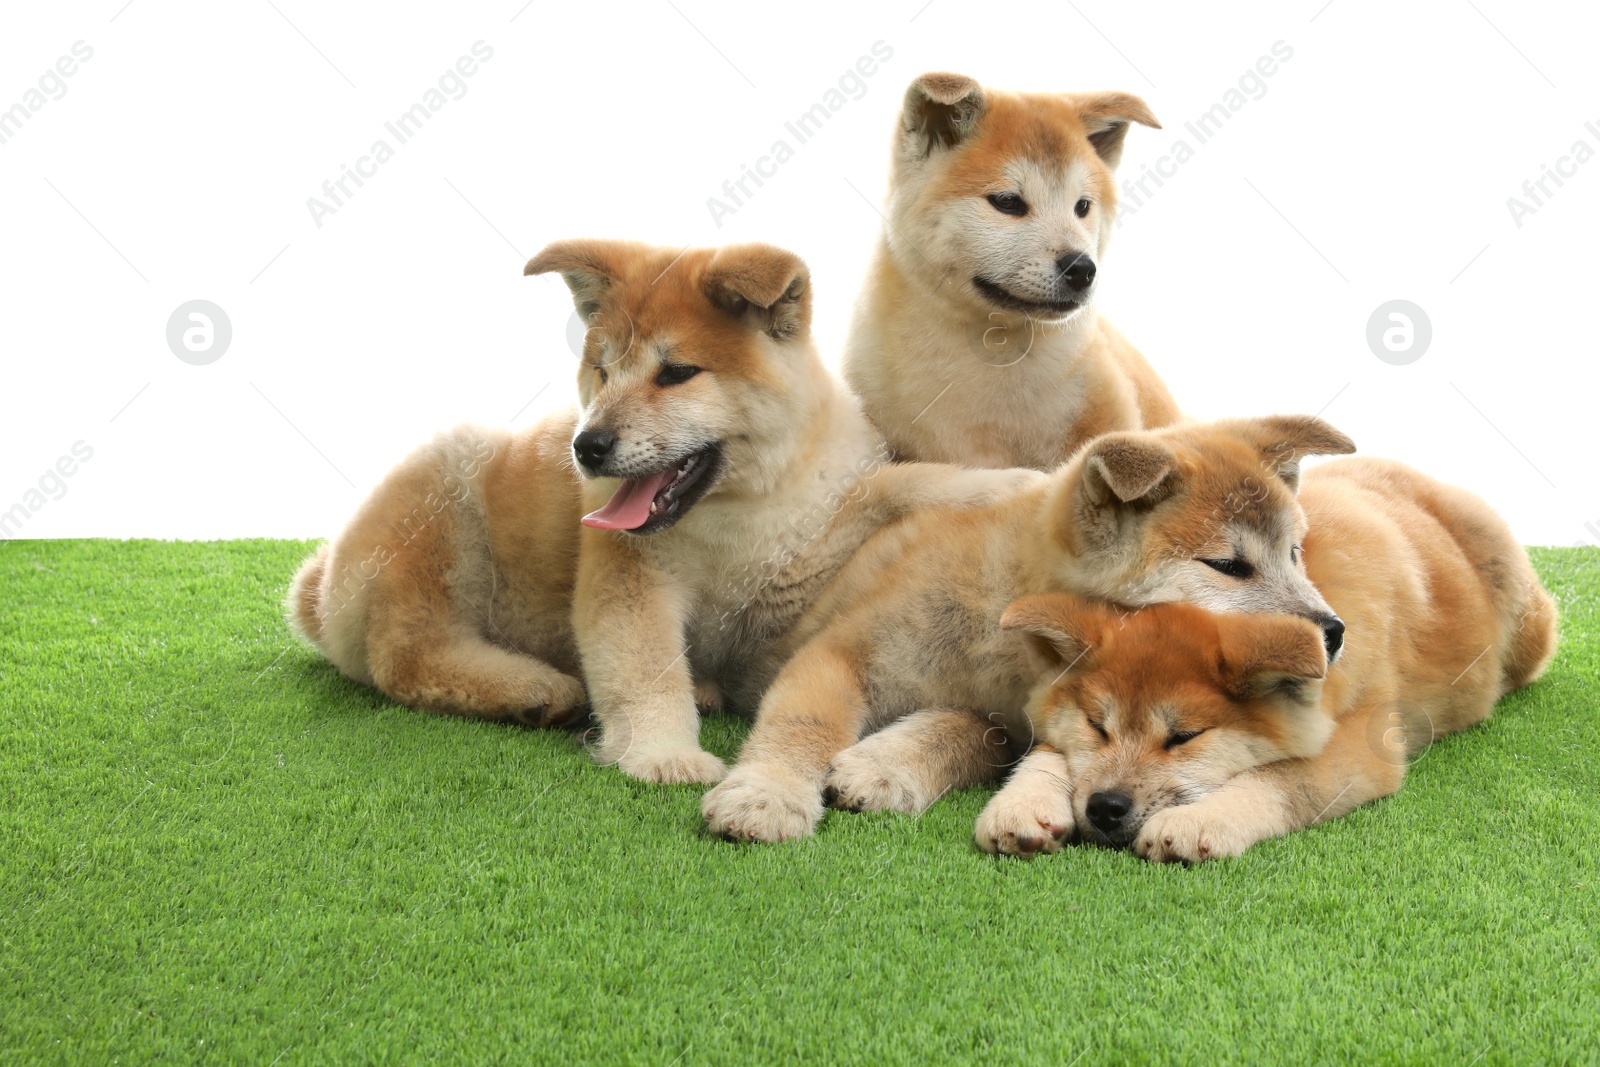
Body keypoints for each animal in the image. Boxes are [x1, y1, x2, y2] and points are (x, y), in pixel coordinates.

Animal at [288, 246, 1036, 790]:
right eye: (602, 370)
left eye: (676, 372)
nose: (586, 447)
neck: (743, 515)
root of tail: (318, 584)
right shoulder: (633, 577)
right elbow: (643, 665)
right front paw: (662, 753)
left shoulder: (804, 555)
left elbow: (895, 485)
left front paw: (1014, 482)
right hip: (447, 480)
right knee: (407, 654)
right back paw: (532, 687)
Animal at [700, 412, 1350, 838]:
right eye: (1229, 566)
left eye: (1295, 553)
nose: (1334, 631)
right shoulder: (841, 651)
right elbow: (802, 724)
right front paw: (766, 795)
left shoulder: (1012, 721)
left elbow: (966, 731)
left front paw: (884, 766)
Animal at [979, 454, 1555, 863]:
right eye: (1098, 727)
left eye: (1184, 737)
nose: (1104, 807)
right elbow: (1048, 748)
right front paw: (1023, 801)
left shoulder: (1360, 744)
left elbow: (1277, 780)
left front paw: (1198, 822)